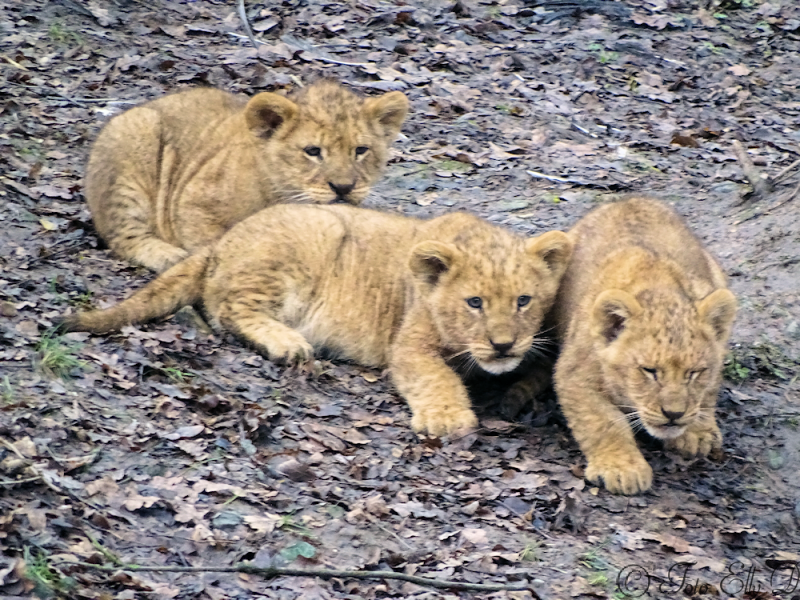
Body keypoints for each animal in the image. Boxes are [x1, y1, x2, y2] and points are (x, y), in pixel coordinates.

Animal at [60, 204, 573, 436]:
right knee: (230, 308)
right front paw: (448, 419)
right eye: (474, 303)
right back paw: (287, 343)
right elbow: (435, 376)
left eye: (524, 300)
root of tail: (223, 239)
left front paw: (515, 394)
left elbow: (541, 371)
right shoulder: (408, 345)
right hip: (315, 235)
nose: (503, 344)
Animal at [85, 80, 409, 272]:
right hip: (137, 136)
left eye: (361, 150)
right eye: (313, 151)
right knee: (122, 234)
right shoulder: (193, 203)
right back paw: (169, 256)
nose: (343, 187)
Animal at [551, 197, 737, 495]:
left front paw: (697, 432)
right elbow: (603, 422)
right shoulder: (574, 375)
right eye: (649, 371)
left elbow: (708, 392)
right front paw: (621, 469)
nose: (674, 414)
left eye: (694, 373)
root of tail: (629, 198)